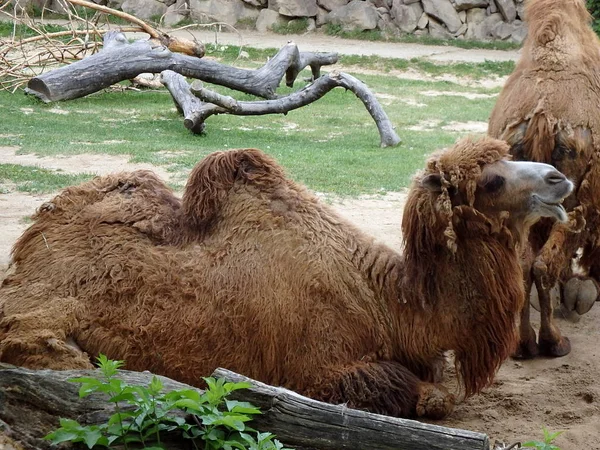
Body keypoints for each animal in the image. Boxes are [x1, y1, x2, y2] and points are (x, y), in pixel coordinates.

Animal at [0, 137, 572, 418]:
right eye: (492, 180)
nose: (558, 178)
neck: (389, 304)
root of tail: (27, 247)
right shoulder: (319, 371)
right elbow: (425, 393)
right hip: (40, 323)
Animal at [488, 0, 600, 360]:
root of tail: (541, 117)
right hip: (575, 201)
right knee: (543, 264)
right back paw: (554, 342)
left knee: (525, 265)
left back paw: (522, 344)